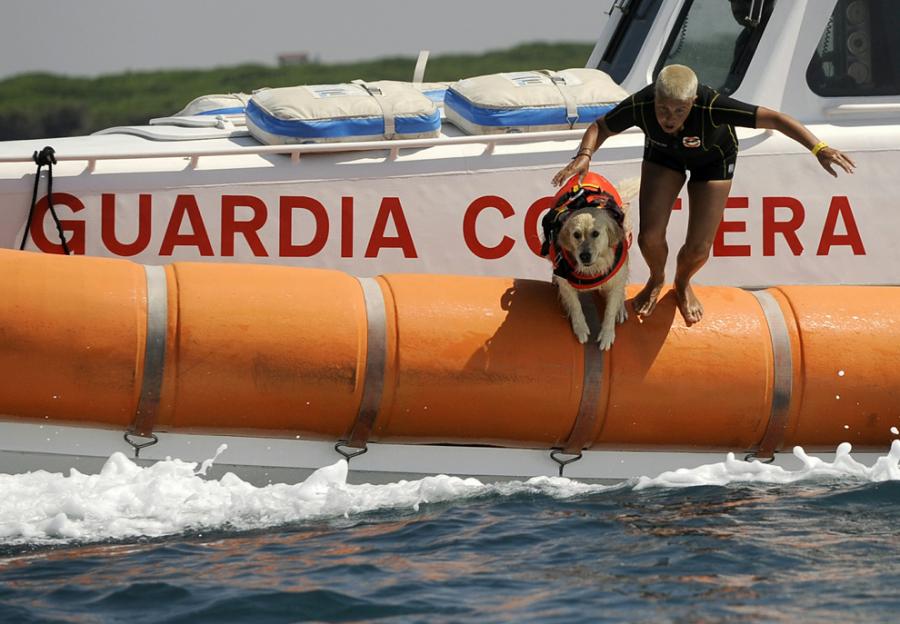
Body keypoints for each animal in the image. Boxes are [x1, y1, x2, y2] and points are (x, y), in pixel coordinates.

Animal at [540, 176, 640, 352]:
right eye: (576, 235)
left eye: (595, 233)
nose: (584, 256)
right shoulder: (565, 283)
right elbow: (575, 306)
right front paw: (581, 329)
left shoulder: (616, 279)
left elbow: (611, 308)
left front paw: (607, 334)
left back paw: (621, 309)